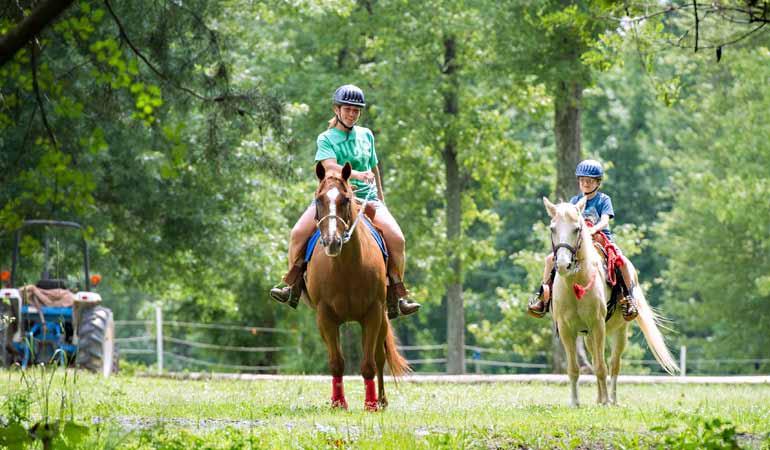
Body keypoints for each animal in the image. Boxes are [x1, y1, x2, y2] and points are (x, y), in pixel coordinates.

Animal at [304, 162, 408, 412]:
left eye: (346, 200)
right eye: (319, 199)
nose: (332, 242)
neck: (346, 267)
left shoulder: (374, 312)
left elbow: (369, 363)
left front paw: (370, 404)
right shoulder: (325, 316)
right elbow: (336, 362)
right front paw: (338, 403)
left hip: (381, 319)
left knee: (379, 357)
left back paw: (381, 400)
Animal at [544, 198, 676, 408]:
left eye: (577, 229)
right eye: (552, 228)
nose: (563, 265)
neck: (576, 284)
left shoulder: (598, 325)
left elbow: (601, 367)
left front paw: (606, 402)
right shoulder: (566, 328)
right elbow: (574, 368)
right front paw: (575, 402)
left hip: (620, 331)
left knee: (613, 364)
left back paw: (612, 400)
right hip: (588, 336)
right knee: (597, 359)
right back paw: (599, 399)